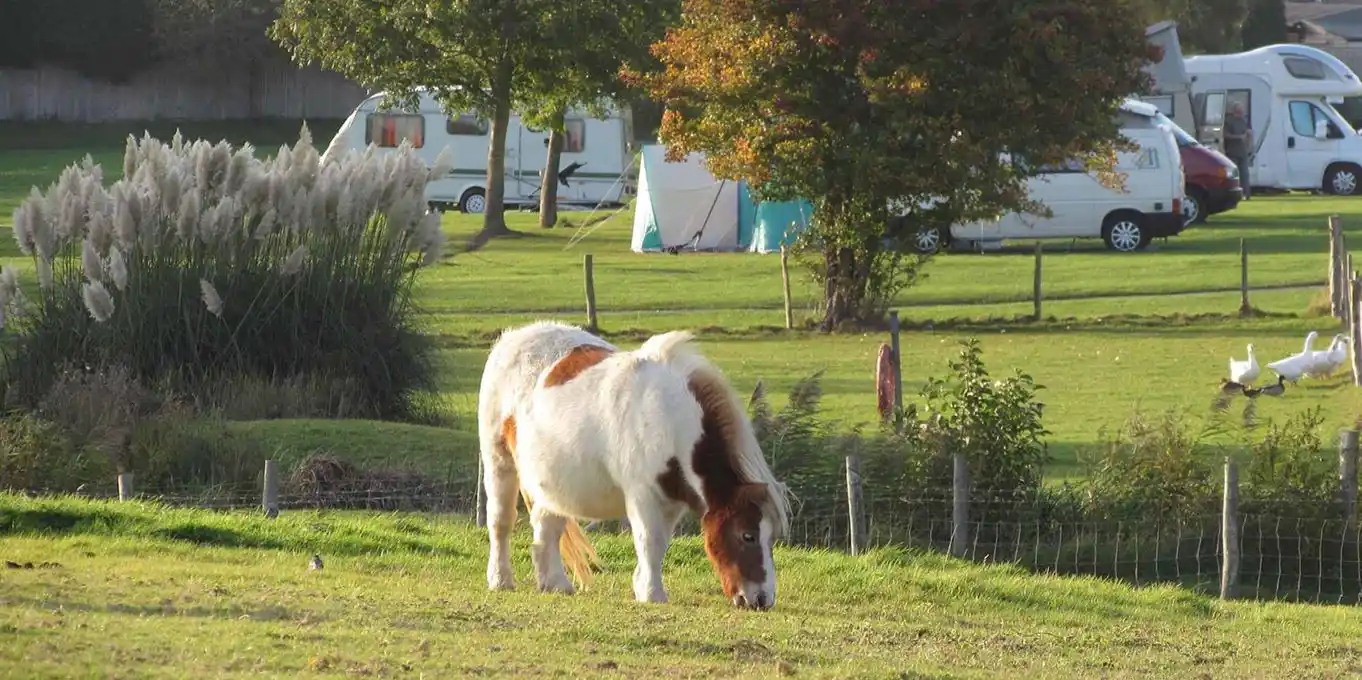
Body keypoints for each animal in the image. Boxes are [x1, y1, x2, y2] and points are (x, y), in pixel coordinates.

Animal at [482, 321, 795, 610]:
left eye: (771, 537)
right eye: (747, 535)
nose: (762, 599)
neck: (671, 418)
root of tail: (512, 337)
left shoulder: (671, 501)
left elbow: (660, 543)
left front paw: (643, 585)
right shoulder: (643, 494)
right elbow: (648, 540)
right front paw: (652, 593)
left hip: (554, 483)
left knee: (546, 528)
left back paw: (555, 583)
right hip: (499, 463)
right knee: (501, 521)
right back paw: (500, 579)